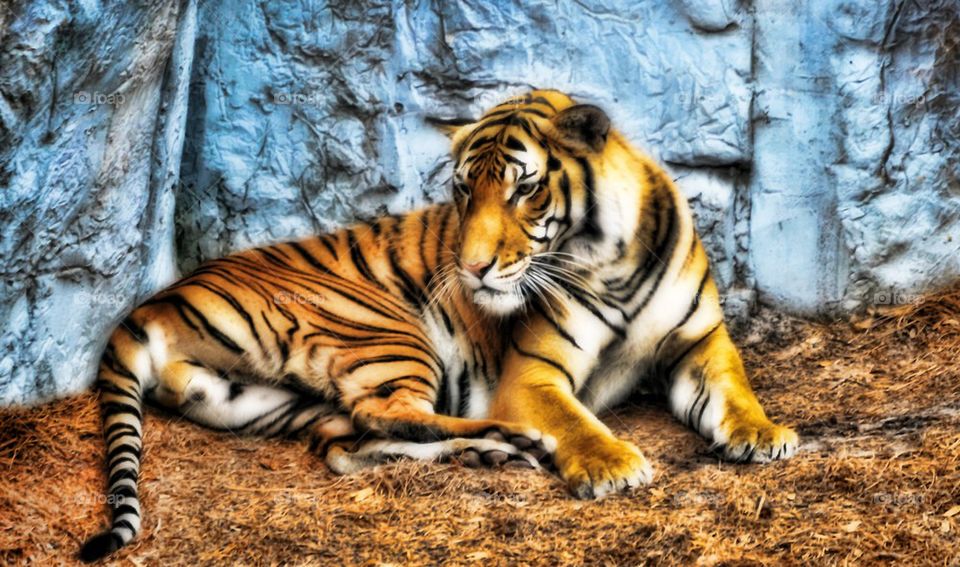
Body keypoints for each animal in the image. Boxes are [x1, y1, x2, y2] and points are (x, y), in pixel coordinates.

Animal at [80, 89, 798, 562]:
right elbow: (573, 422)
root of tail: (152, 304)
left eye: (523, 189)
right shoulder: (534, 375)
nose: (472, 267)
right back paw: (510, 441)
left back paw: (491, 453)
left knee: (349, 445)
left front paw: (764, 435)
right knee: (385, 414)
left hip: (263, 400)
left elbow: (734, 388)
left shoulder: (700, 341)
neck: (612, 260)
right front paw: (610, 463)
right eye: (462, 191)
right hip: (387, 330)